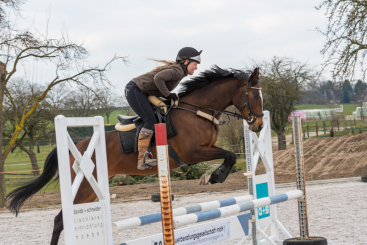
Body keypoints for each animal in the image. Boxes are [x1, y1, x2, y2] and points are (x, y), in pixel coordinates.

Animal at [5, 65, 264, 245]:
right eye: (254, 96)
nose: (259, 125)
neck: (196, 111)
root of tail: (76, 146)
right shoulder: (193, 152)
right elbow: (229, 155)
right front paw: (215, 177)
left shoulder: (205, 148)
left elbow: (230, 156)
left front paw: (213, 176)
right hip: (83, 187)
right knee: (60, 220)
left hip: (93, 188)